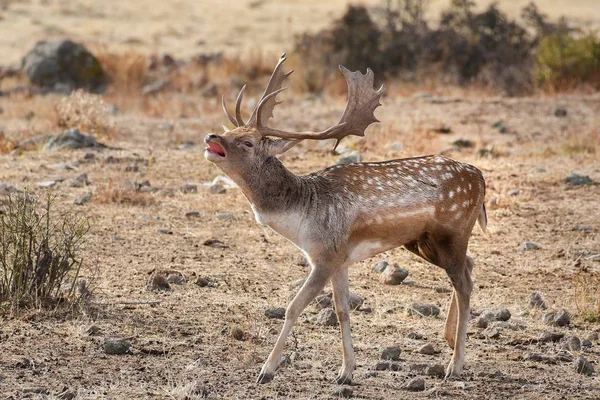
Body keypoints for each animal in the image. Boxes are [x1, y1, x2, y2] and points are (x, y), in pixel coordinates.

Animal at [204, 53, 486, 384]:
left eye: (248, 142)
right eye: (228, 131)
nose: (211, 135)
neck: (302, 218)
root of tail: (481, 178)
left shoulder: (325, 257)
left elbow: (293, 307)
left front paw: (266, 370)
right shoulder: (340, 259)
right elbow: (342, 311)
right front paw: (345, 371)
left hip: (452, 232)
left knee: (464, 284)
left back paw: (455, 365)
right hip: (423, 242)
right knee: (469, 266)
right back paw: (449, 340)